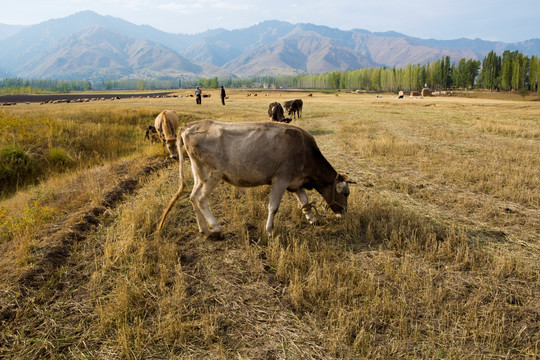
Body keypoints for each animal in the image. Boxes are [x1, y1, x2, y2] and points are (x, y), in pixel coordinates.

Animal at [157, 121, 350, 238]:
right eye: (346, 194)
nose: (344, 214)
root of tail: (189, 126)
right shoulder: (281, 178)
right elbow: (273, 206)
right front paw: (269, 231)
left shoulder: (295, 182)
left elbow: (304, 201)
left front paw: (313, 219)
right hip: (212, 174)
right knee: (200, 198)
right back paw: (215, 228)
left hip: (199, 173)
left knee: (192, 197)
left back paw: (203, 228)